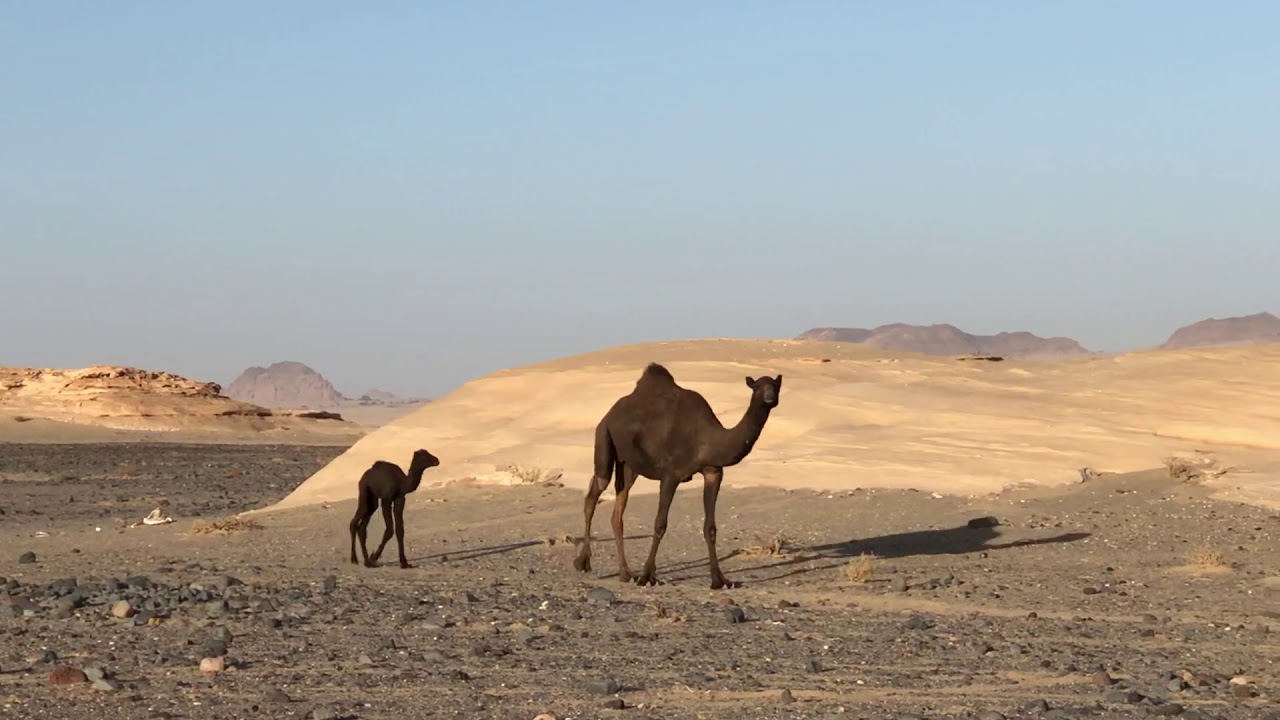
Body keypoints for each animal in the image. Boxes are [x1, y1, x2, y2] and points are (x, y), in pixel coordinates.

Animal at [573, 363, 781, 589]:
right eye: (756, 387)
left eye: (775, 385)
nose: (770, 397)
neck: (707, 438)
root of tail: (609, 414)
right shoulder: (670, 475)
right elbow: (660, 524)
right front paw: (647, 576)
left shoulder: (713, 472)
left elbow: (710, 527)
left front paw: (719, 580)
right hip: (603, 436)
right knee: (594, 493)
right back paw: (583, 562)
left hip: (628, 466)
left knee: (618, 509)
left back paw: (625, 573)